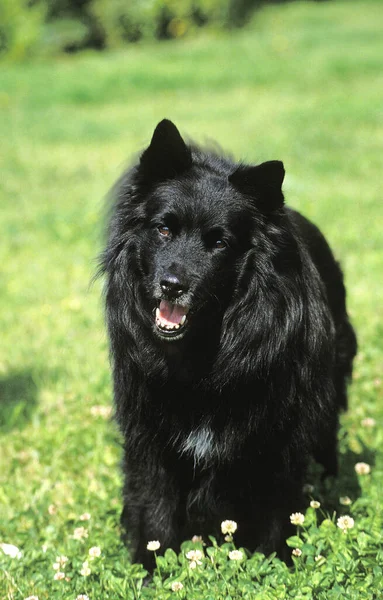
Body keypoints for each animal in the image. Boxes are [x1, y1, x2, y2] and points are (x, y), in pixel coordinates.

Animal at [100, 118, 358, 572]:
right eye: (163, 229)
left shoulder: (278, 440)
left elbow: (276, 514)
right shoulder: (151, 438)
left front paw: (277, 568)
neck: (206, 351)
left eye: (219, 242)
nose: (172, 285)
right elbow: (155, 513)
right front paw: (151, 573)